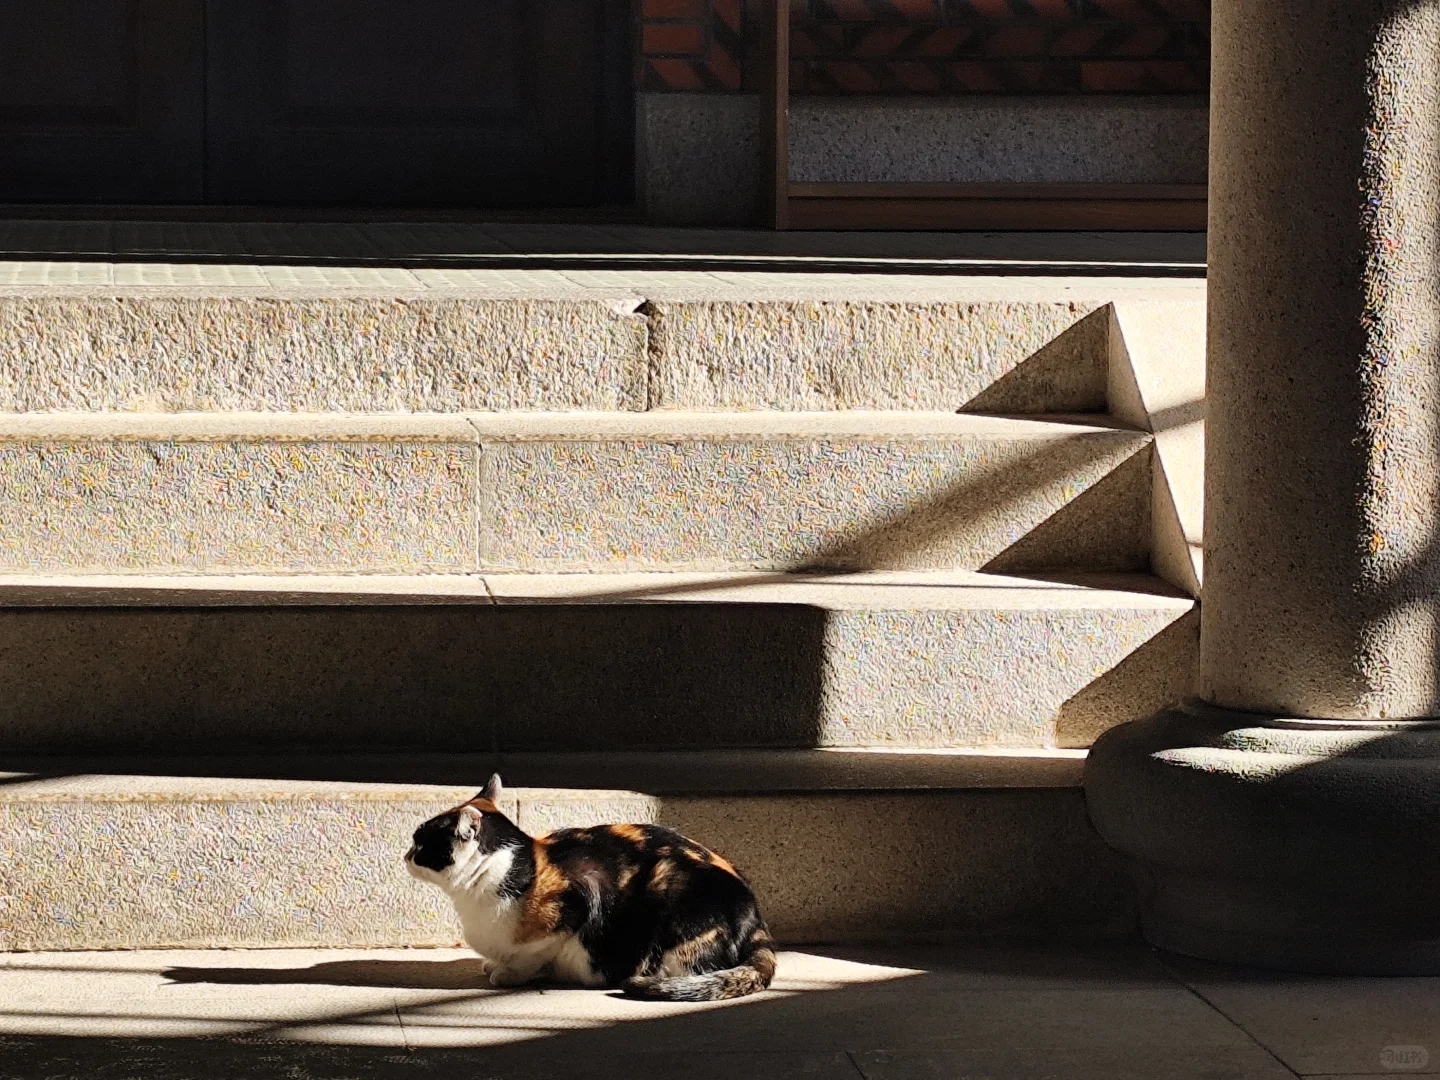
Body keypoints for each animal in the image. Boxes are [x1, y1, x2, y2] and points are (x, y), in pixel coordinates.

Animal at [400, 771, 783, 1002]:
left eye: (421, 843)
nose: (405, 855)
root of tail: (757, 921)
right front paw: (494, 965)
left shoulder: (578, 899)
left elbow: (532, 955)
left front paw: (509, 974)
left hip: (675, 899)